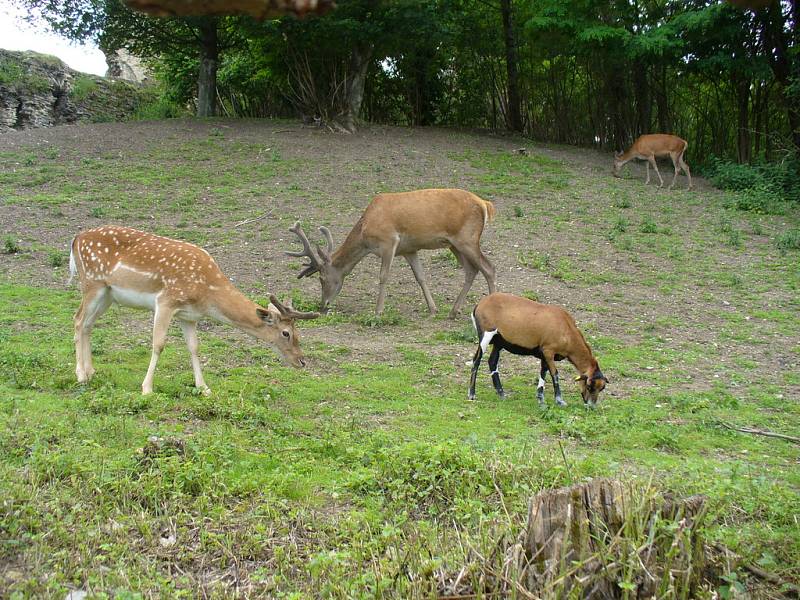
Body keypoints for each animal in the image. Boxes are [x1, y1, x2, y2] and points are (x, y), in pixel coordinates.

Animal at [69, 225, 318, 394]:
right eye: (286, 333)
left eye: (298, 333)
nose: (302, 361)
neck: (207, 295)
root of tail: (76, 239)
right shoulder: (166, 301)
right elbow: (158, 344)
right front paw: (147, 388)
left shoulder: (188, 316)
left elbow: (194, 347)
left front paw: (204, 388)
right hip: (92, 283)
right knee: (78, 319)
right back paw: (80, 375)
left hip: (108, 295)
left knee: (88, 324)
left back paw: (91, 371)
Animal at [284, 188, 496, 318]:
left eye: (322, 278)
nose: (323, 306)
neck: (365, 231)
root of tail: (485, 204)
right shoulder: (409, 249)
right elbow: (420, 277)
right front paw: (433, 308)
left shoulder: (388, 242)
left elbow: (383, 276)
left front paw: (378, 311)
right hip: (454, 244)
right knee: (472, 270)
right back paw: (453, 312)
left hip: (467, 239)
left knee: (489, 268)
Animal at [468, 294, 608, 408]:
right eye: (589, 386)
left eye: (602, 388)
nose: (591, 406)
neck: (567, 331)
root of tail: (479, 304)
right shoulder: (548, 350)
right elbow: (554, 374)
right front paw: (559, 401)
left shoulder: (544, 355)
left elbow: (543, 373)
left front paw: (541, 400)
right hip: (486, 334)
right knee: (476, 361)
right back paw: (471, 394)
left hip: (499, 341)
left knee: (492, 362)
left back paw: (501, 394)